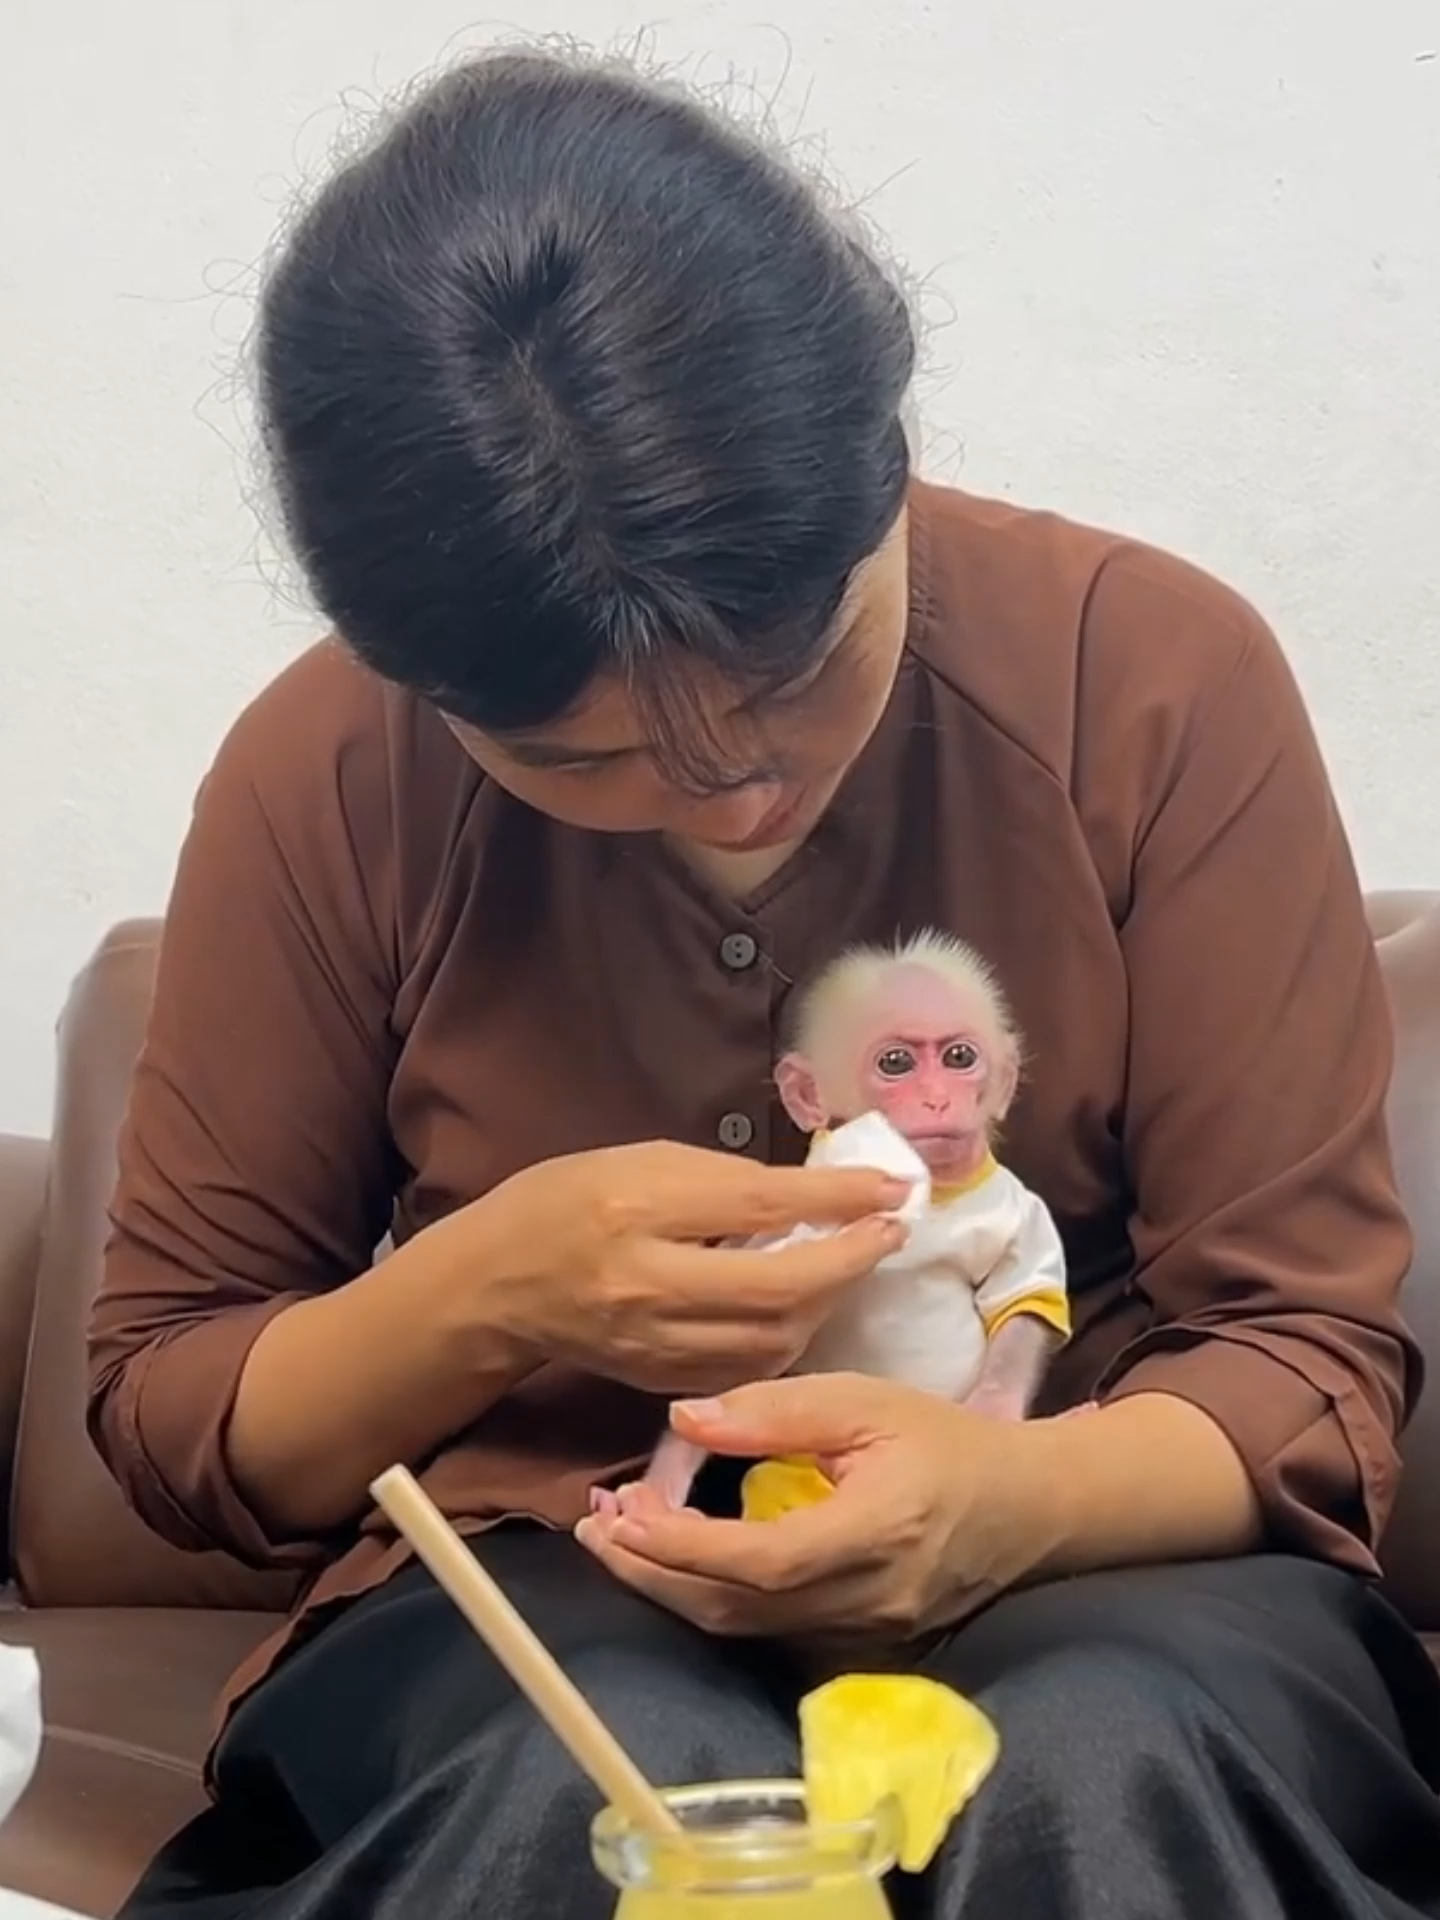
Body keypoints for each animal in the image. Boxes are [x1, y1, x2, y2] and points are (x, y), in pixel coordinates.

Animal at [592, 929, 1071, 1520]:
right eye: (896, 1063)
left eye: (960, 1056)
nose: (939, 1099)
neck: (934, 1189)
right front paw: (662, 1481)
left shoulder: (1018, 1206)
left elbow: (1023, 1310)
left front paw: (992, 1412)